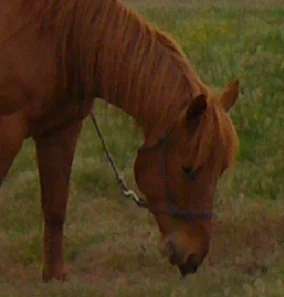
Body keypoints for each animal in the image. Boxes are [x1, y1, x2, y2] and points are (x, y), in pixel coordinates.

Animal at [0, 0, 240, 280]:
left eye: (220, 170)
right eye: (187, 169)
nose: (193, 257)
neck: (54, 36)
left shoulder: (61, 129)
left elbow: (55, 205)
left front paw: (55, 276)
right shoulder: (8, 133)